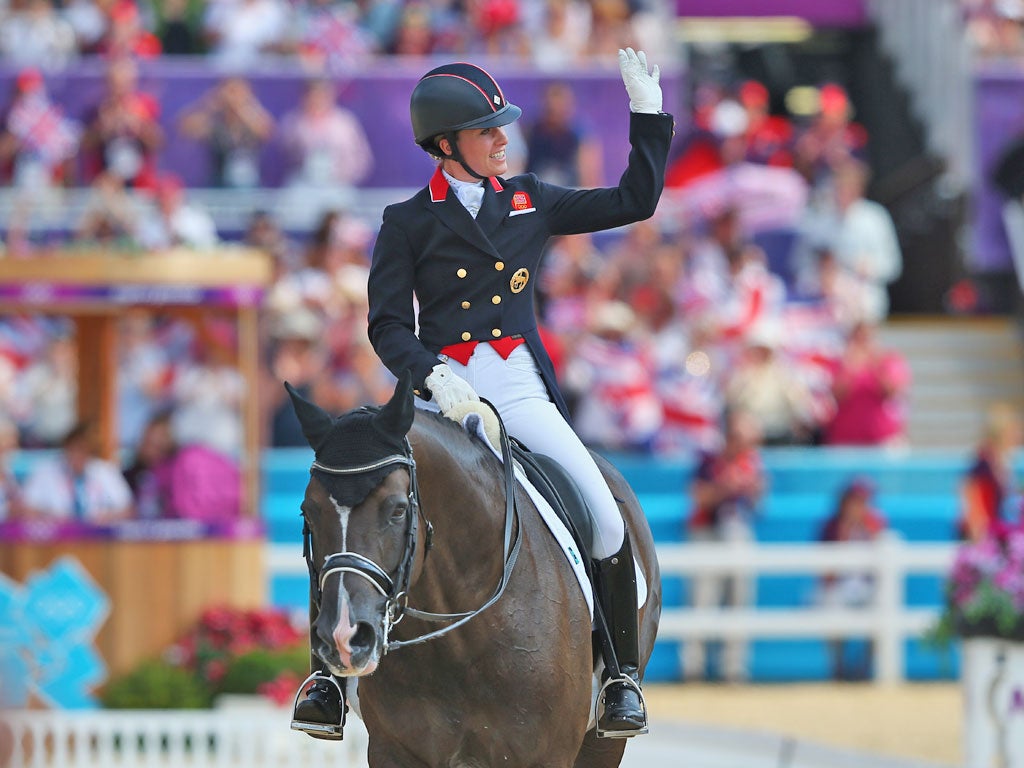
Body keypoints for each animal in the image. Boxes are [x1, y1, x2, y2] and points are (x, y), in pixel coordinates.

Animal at [286, 370, 663, 765]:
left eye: (398, 509)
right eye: (308, 512)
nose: (345, 637)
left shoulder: (546, 754)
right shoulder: (393, 750)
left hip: (602, 743)